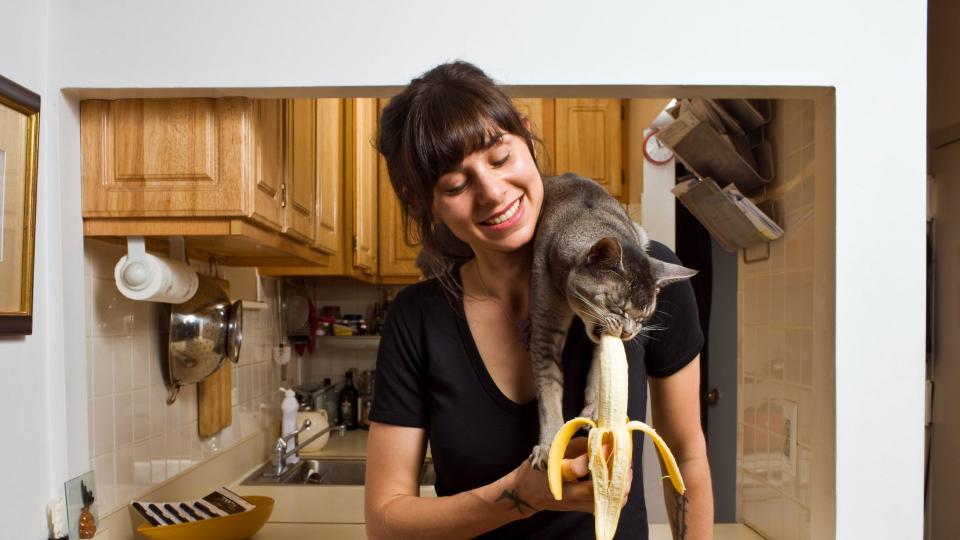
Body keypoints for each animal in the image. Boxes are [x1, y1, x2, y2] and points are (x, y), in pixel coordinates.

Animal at [524, 173, 696, 468]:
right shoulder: (545, 329)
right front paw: (548, 446)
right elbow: (548, 393)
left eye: (643, 317)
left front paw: (594, 409)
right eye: (617, 305)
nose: (628, 332)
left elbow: (598, 369)